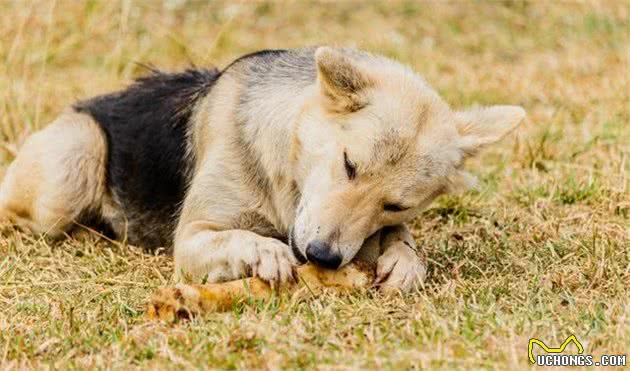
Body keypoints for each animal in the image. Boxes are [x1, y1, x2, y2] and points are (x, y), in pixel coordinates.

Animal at [0, 47, 528, 294]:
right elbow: (239, 238)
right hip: (72, 166)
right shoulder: (191, 238)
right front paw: (264, 251)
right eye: (349, 165)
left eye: (395, 204)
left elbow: (402, 242)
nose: (322, 258)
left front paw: (404, 259)